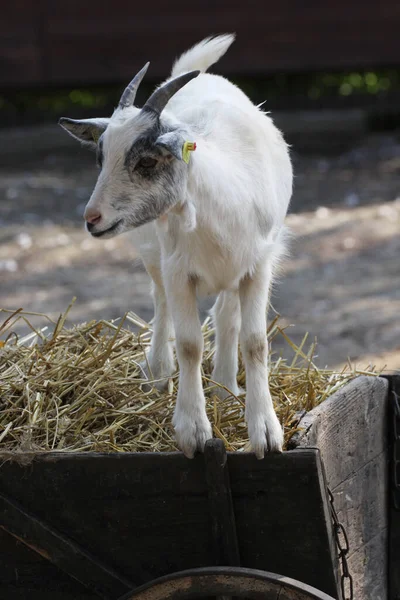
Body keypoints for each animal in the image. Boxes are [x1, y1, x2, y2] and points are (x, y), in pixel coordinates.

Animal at [59, 35, 292, 458]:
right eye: (101, 158)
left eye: (148, 161)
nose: (92, 218)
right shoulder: (178, 270)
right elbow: (188, 344)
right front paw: (193, 431)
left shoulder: (257, 266)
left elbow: (254, 342)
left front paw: (265, 432)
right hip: (155, 258)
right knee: (161, 302)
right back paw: (158, 373)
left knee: (226, 315)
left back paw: (227, 388)